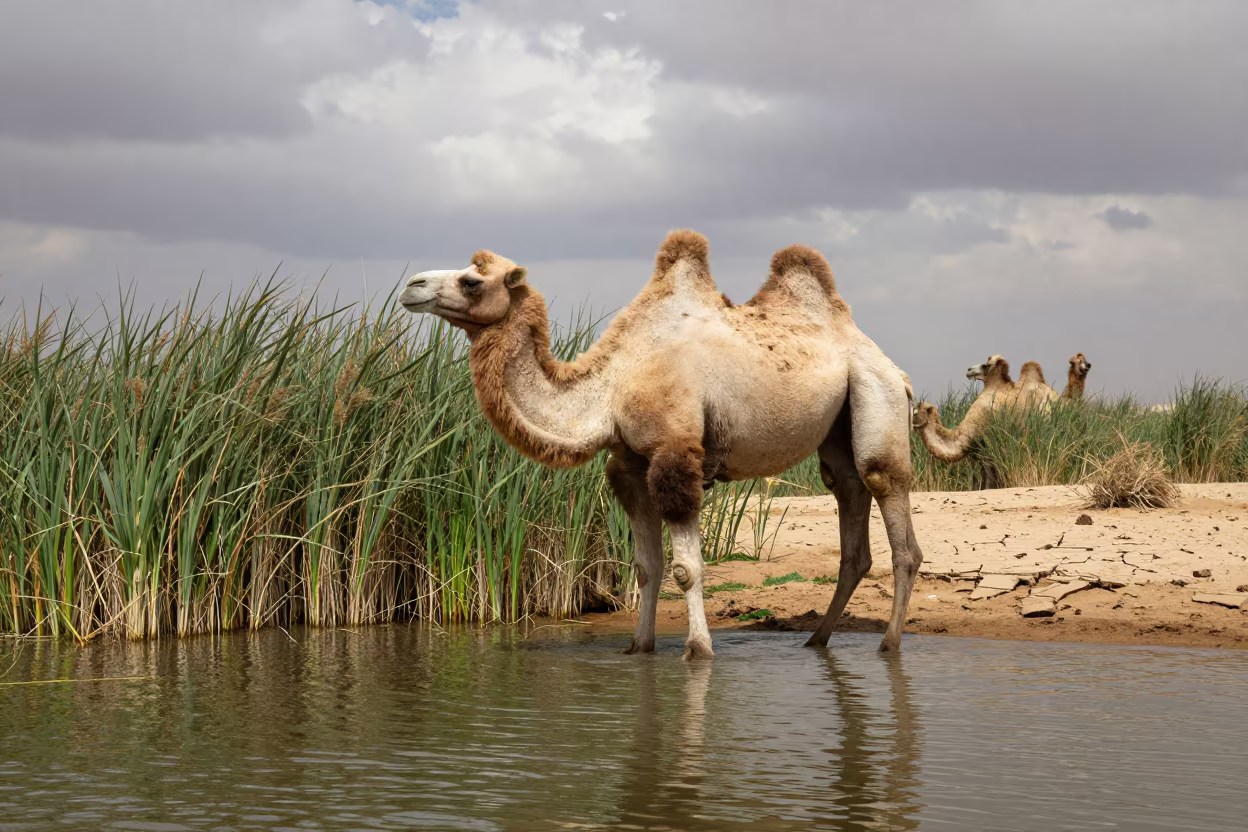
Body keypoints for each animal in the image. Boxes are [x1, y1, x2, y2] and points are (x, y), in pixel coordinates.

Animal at [398, 230, 923, 658]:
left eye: (471, 281)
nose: (412, 285)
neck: (614, 386)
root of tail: (887, 362)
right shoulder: (628, 464)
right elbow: (645, 566)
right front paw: (639, 646)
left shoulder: (676, 453)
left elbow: (686, 568)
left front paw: (699, 650)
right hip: (837, 426)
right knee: (848, 498)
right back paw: (817, 640)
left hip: (880, 394)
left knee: (887, 492)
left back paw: (889, 643)